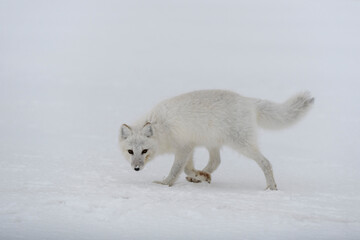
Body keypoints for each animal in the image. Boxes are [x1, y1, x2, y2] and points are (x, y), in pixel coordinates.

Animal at [119, 89, 314, 190]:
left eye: (144, 151)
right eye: (130, 151)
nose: (136, 168)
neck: (161, 126)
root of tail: (248, 101)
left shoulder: (183, 147)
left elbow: (177, 170)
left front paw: (165, 183)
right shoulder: (189, 147)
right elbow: (187, 169)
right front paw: (200, 176)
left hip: (241, 144)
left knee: (266, 162)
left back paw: (271, 187)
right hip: (212, 142)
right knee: (216, 161)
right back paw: (202, 176)